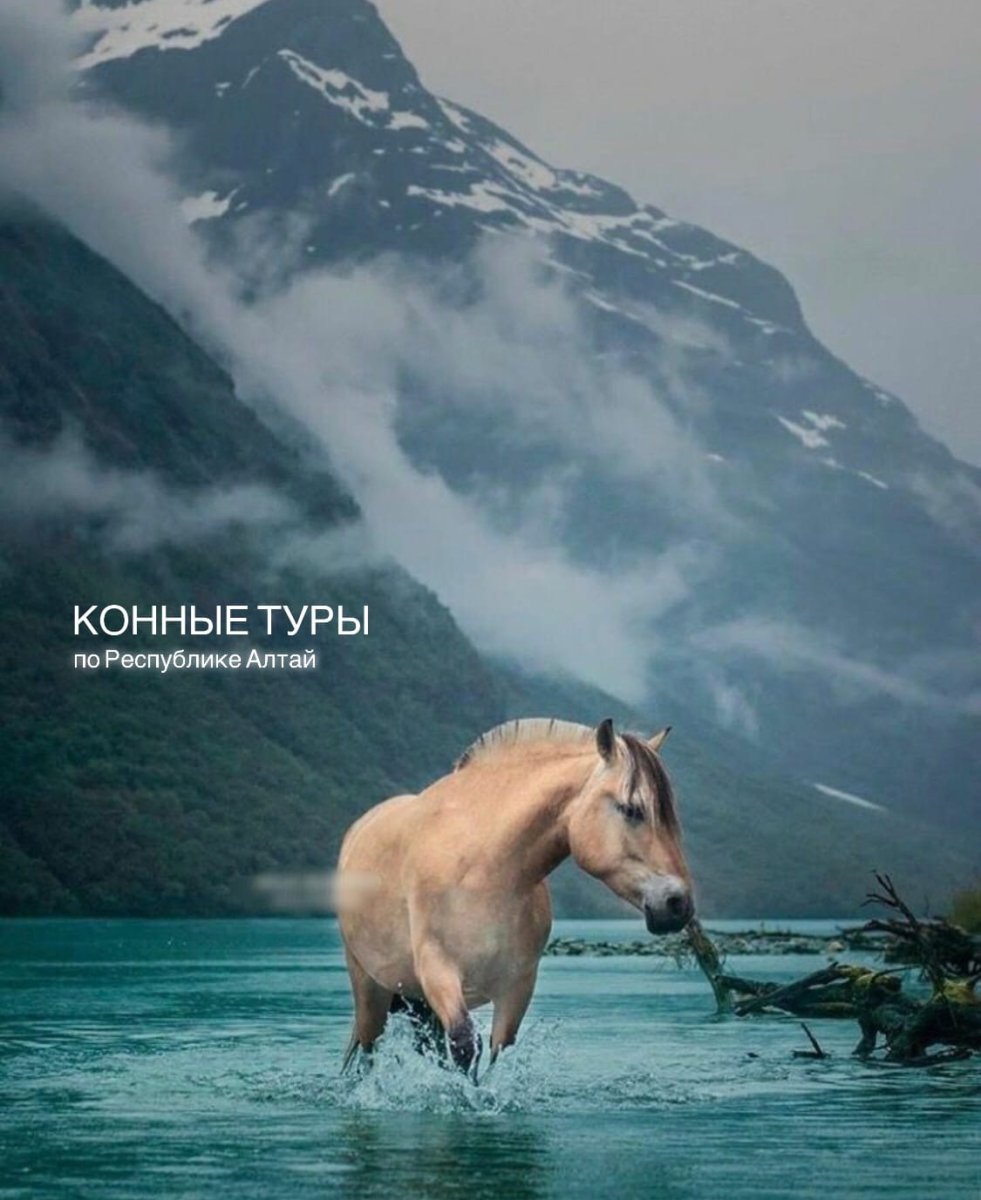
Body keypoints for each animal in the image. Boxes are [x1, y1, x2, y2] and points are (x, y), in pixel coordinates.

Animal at [335, 717, 693, 1077]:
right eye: (632, 810)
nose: (678, 905)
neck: (487, 872)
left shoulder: (517, 988)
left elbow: (497, 1055)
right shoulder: (438, 971)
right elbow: (465, 1045)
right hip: (371, 993)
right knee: (368, 1052)